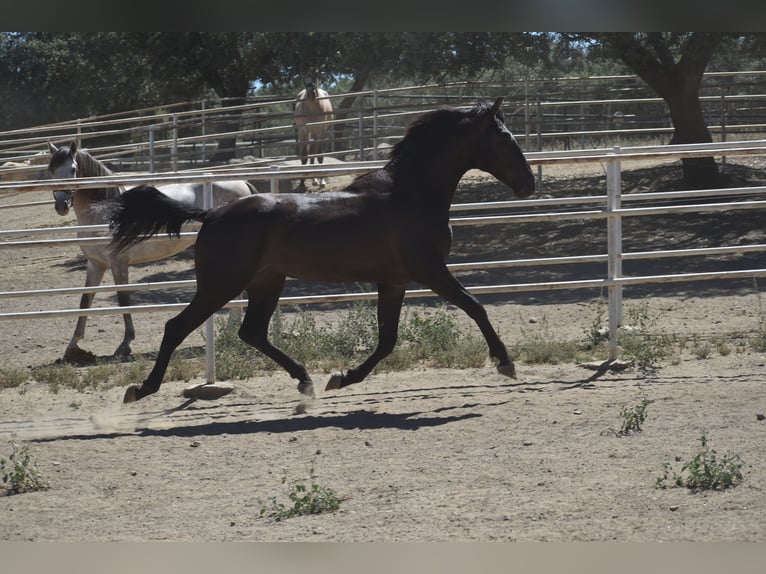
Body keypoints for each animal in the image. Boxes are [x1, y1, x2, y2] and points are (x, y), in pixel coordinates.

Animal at [46, 144, 256, 368]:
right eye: (51, 170)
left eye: (73, 170)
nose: (61, 206)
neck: (104, 213)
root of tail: (242, 184)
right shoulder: (96, 264)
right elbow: (85, 301)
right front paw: (72, 347)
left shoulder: (118, 263)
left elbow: (123, 299)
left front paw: (125, 345)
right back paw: (230, 330)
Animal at [108, 99, 536, 404]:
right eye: (505, 138)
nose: (529, 183)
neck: (410, 195)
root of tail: (211, 213)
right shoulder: (430, 270)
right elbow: (475, 306)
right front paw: (506, 363)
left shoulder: (394, 282)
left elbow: (387, 339)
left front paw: (342, 378)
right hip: (221, 285)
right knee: (177, 327)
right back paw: (140, 390)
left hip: (266, 282)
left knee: (252, 332)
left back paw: (306, 380)